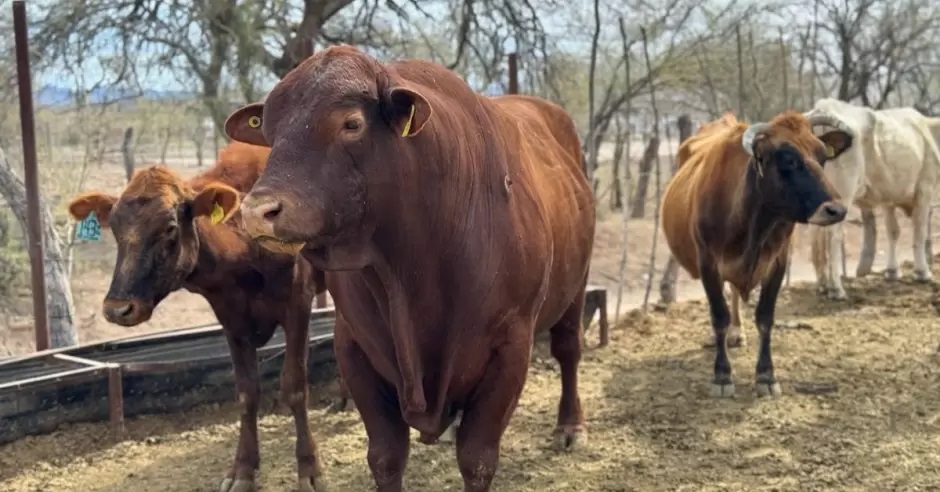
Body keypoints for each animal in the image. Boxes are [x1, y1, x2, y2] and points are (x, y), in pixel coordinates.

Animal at [68, 140, 328, 492]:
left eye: (169, 228)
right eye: (116, 230)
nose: (117, 308)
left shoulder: (298, 303)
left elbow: (295, 386)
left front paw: (309, 468)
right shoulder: (231, 319)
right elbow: (247, 391)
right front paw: (242, 469)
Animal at [221, 44, 596, 490]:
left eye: (351, 123)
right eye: (269, 131)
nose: (258, 212)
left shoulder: (511, 347)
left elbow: (477, 460)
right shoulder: (355, 346)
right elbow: (386, 457)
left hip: (576, 285)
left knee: (568, 349)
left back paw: (570, 425)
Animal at [660, 109, 860, 398]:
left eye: (823, 156)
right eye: (789, 159)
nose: (836, 210)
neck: (751, 223)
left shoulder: (778, 262)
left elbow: (765, 318)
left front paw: (766, 375)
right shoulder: (708, 262)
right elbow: (718, 315)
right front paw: (722, 375)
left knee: (733, 293)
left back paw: (737, 332)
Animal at [804, 98, 940, 300]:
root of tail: (824, 107)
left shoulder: (888, 196)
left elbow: (893, 231)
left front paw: (892, 271)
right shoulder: (925, 188)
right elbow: (919, 231)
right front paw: (922, 273)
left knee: (816, 235)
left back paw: (822, 284)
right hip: (843, 194)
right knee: (833, 236)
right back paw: (836, 288)